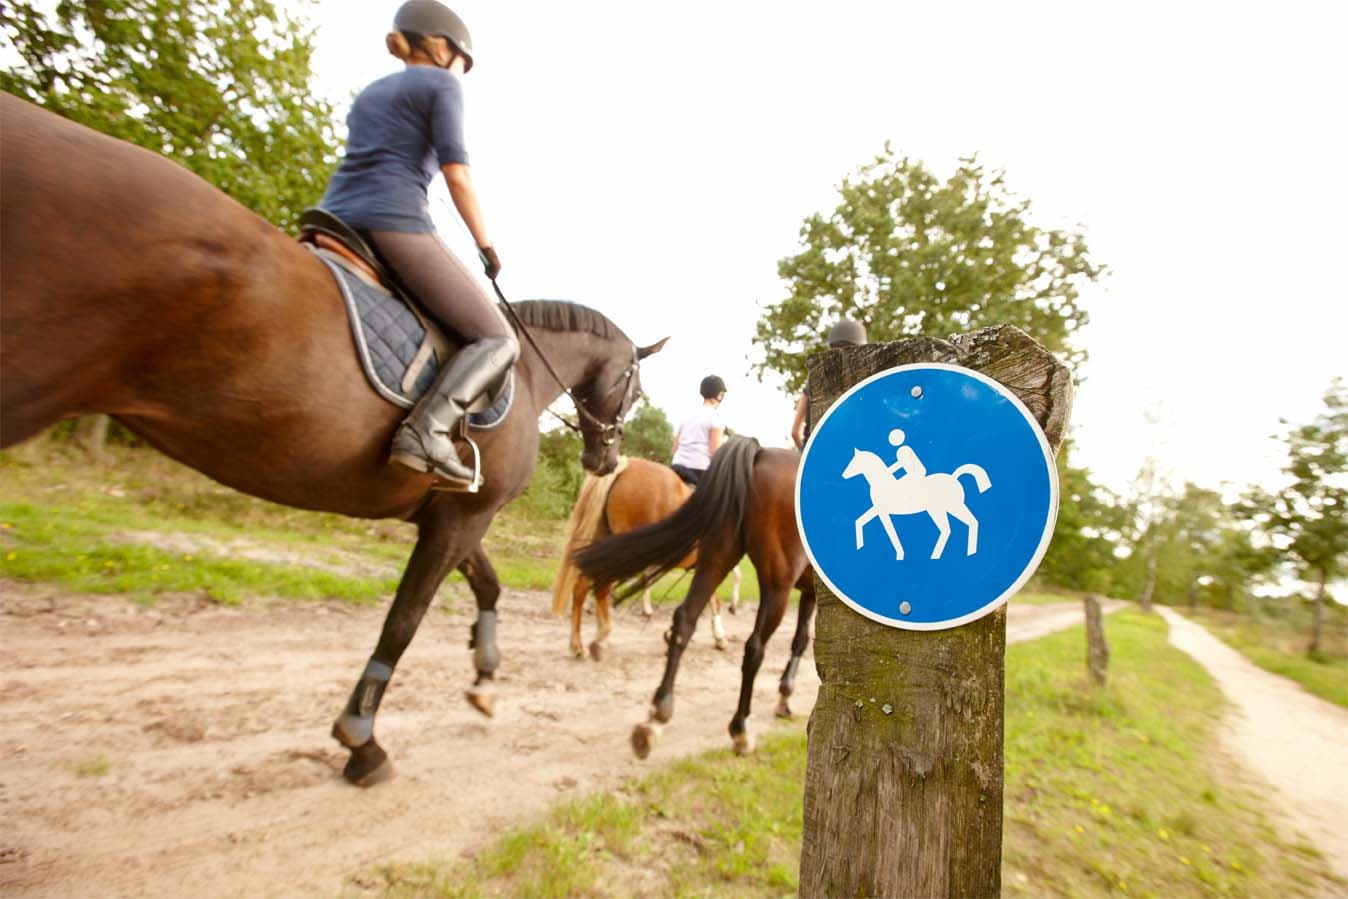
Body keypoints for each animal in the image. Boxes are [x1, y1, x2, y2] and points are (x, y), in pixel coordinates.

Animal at [2, 95, 665, 787]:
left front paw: (483, 677)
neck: (528, 369)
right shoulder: (464, 515)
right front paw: (361, 740)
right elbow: (404, 620)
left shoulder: (449, 512)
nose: (606, 458)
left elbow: (486, 585)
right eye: (635, 390)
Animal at [547, 458, 744, 660]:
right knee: (601, 586)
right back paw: (601, 636)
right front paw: (719, 634)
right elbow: (719, 593)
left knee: (582, 587)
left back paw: (577, 644)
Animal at [576, 436, 814, 760]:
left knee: (684, 619)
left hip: (714, 559)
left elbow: (800, 639)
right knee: (754, 647)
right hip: (776, 585)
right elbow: (800, 641)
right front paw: (785, 697)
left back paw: (655, 716)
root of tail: (760, 453)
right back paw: (740, 729)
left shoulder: (809, 591)